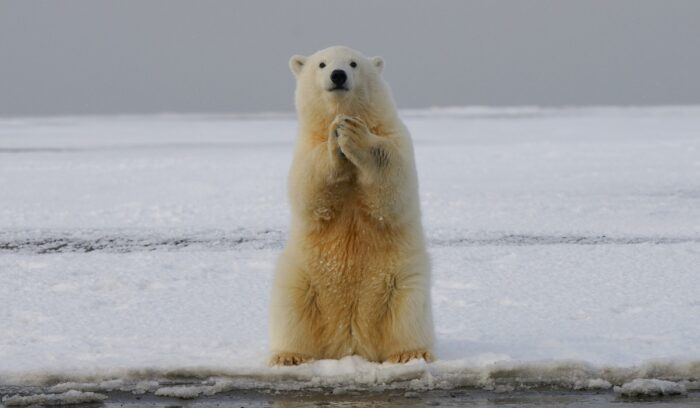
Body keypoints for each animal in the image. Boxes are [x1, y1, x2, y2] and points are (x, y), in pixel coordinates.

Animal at [269, 46, 434, 366]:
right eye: (322, 64)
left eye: (354, 63)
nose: (338, 75)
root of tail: (350, 343)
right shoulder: (305, 146)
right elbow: (309, 189)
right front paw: (336, 140)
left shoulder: (395, 136)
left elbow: (393, 186)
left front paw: (354, 134)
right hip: (302, 278)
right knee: (292, 310)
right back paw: (290, 356)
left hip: (401, 279)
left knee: (408, 313)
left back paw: (409, 353)